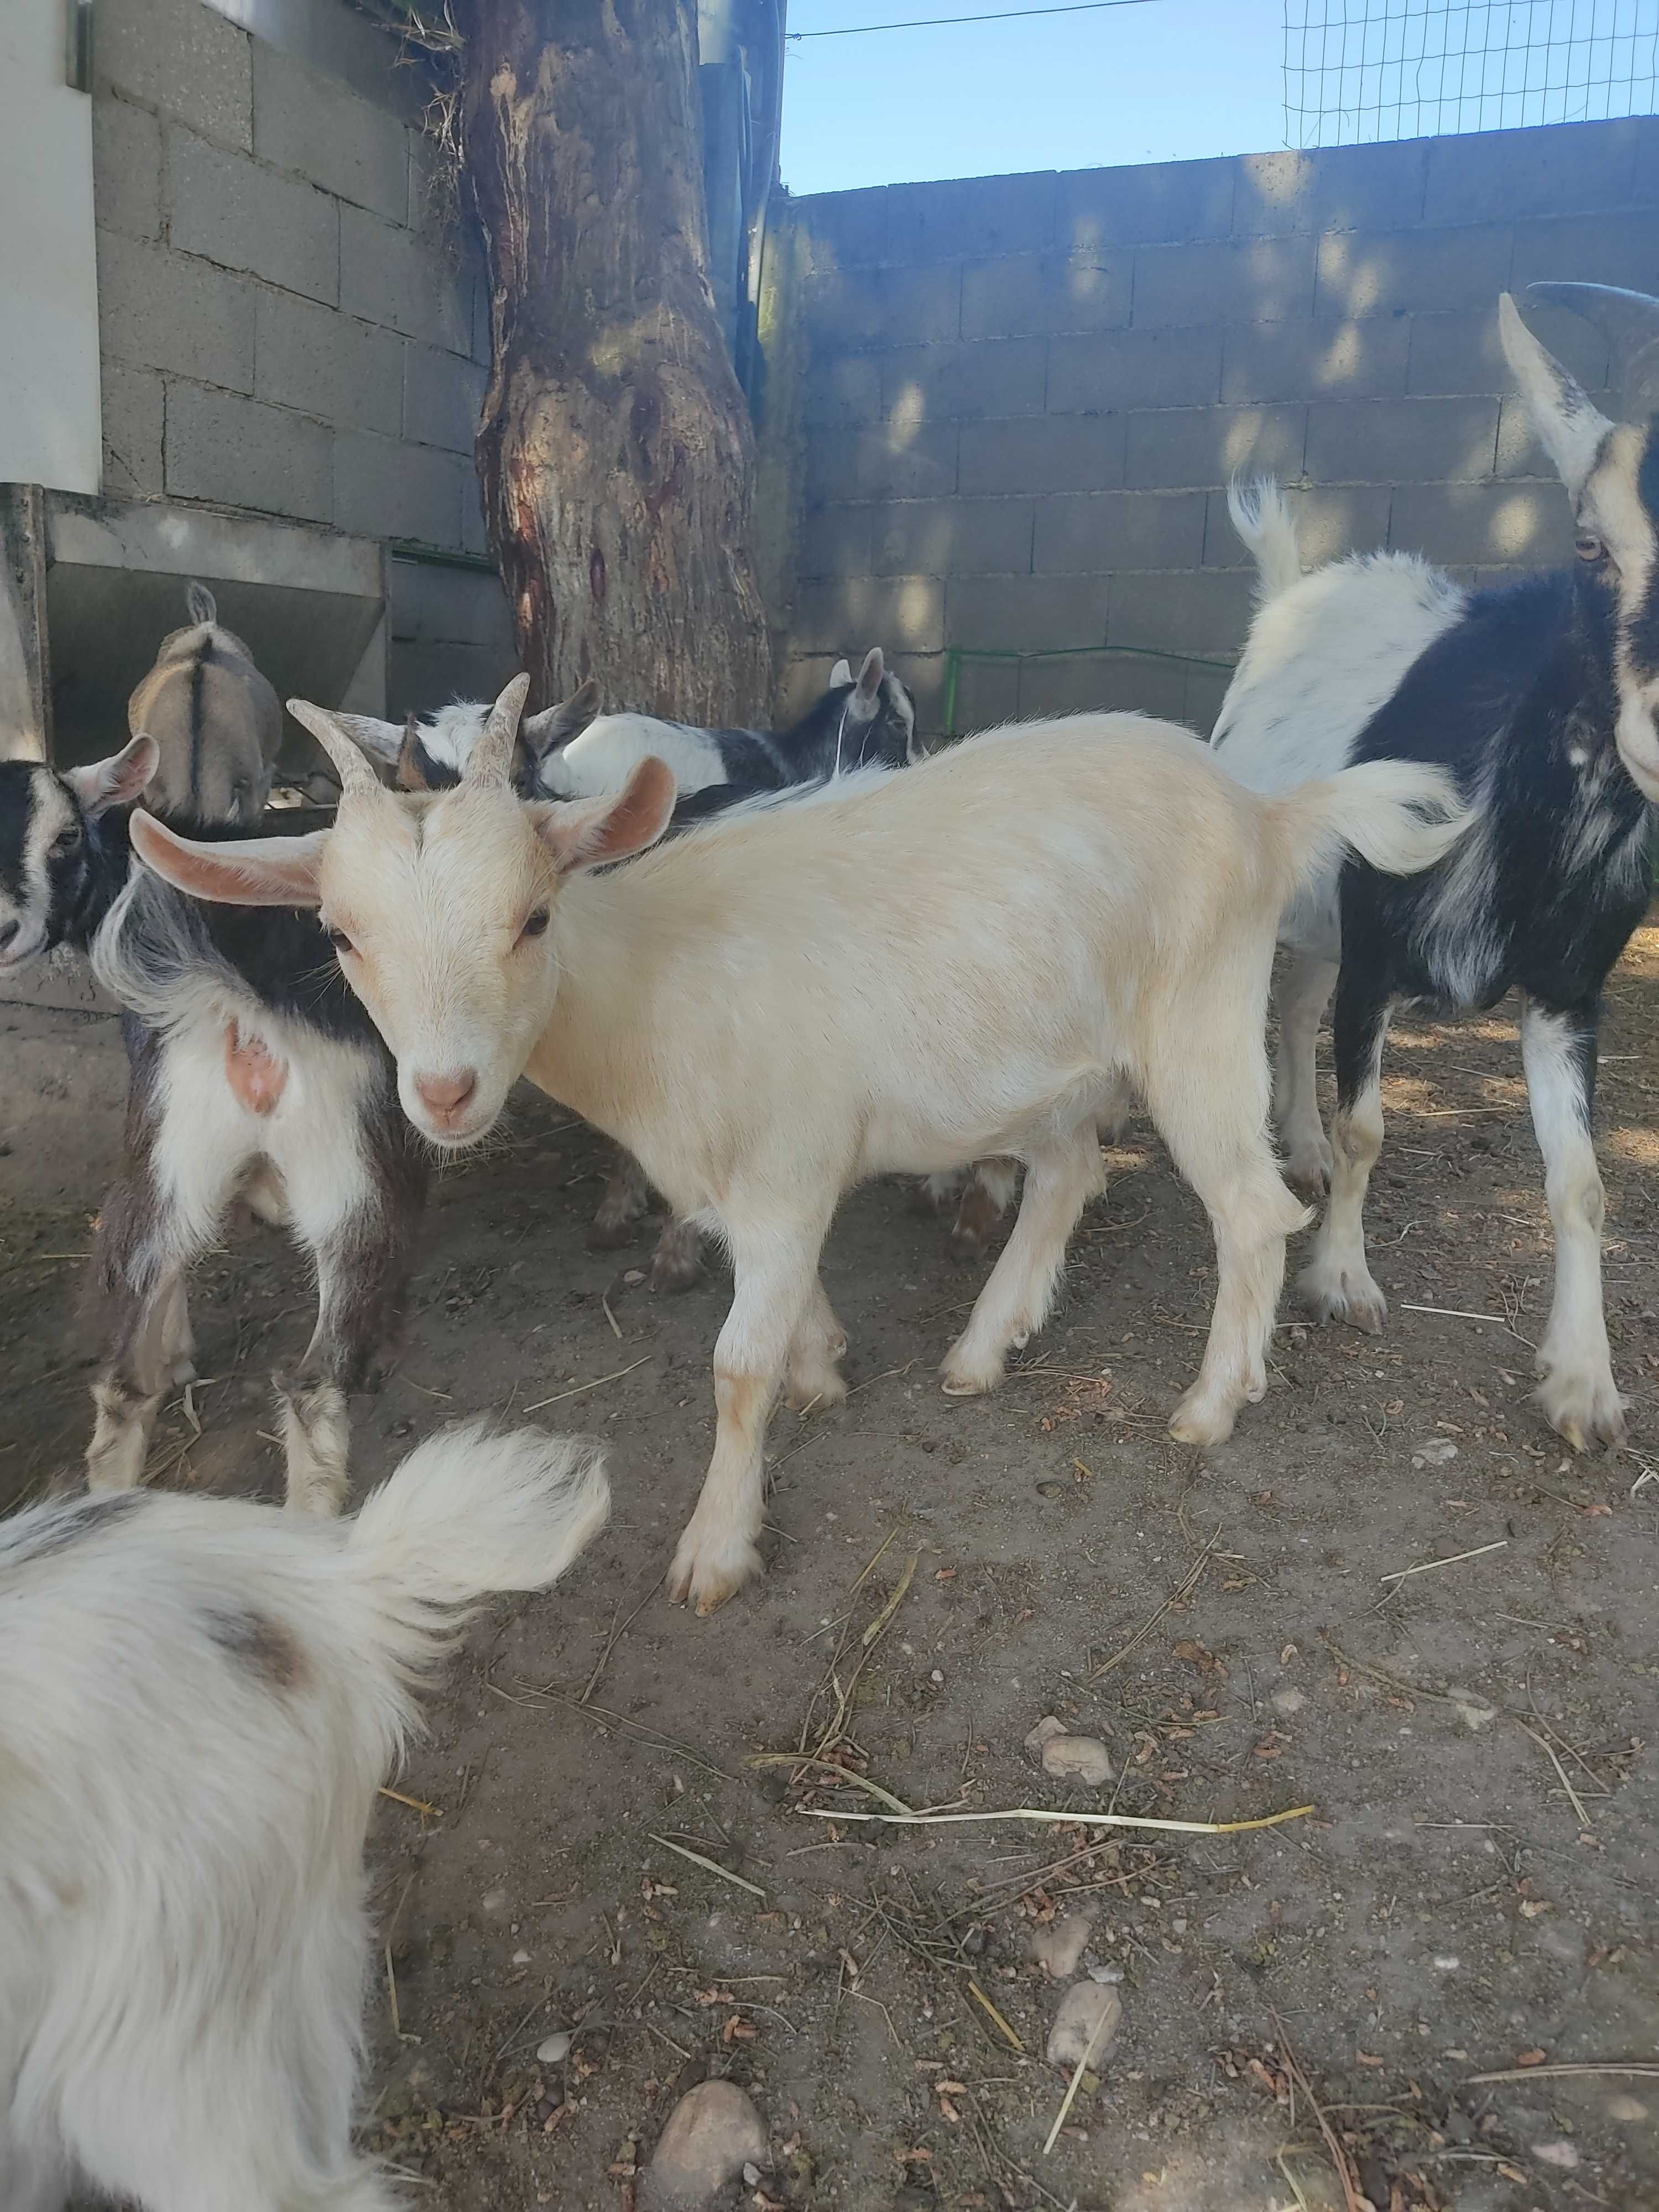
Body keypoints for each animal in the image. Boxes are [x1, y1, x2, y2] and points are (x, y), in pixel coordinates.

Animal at [1, 752, 429, 1513]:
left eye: (65, 837)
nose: (4, 931)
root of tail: (240, 1006)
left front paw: (173, 1355)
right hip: (347, 1170)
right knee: (315, 1382)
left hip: (171, 1156)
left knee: (121, 1386)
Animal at [137, 681, 1478, 1619]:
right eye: (341, 934)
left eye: (534, 916)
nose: (447, 1090)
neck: (649, 983)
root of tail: (1268, 813)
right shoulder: (758, 1175)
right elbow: (778, 1307)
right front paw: (827, 1364)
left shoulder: (783, 1164)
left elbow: (736, 1364)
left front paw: (715, 1547)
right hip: (1051, 1055)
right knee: (1069, 1174)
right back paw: (983, 1349)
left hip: (1197, 1019)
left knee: (1251, 1209)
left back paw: (1209, 1402)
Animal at [1212, 281, 1659, 1451]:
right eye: (1589, 541)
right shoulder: (1379, 949)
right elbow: (1371, 1123)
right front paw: (1341, 1281)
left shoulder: (1567, 991)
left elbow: (1584, 1183)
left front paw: (1585, 1383)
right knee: (1283, 1017)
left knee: (1295, 1012)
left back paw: (1302, 1149)